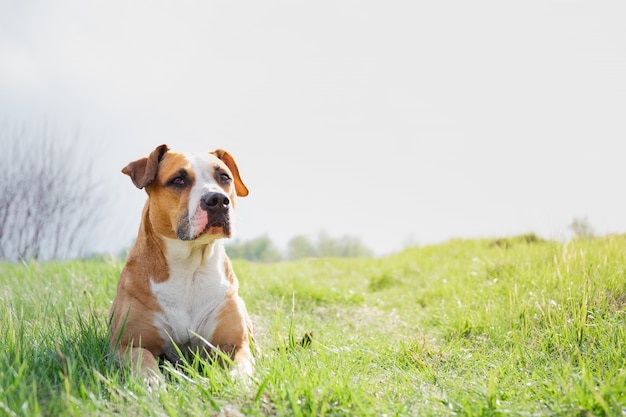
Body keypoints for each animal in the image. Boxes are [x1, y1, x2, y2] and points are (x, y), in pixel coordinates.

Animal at [109, 144, 254, 384]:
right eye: (178, 180)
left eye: (224, 177)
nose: (218, 200)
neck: (190, 267)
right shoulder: (126, 345)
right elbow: (143, 360)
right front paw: (152, 382)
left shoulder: (235, 344)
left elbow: (241, 365)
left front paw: (240, 381)